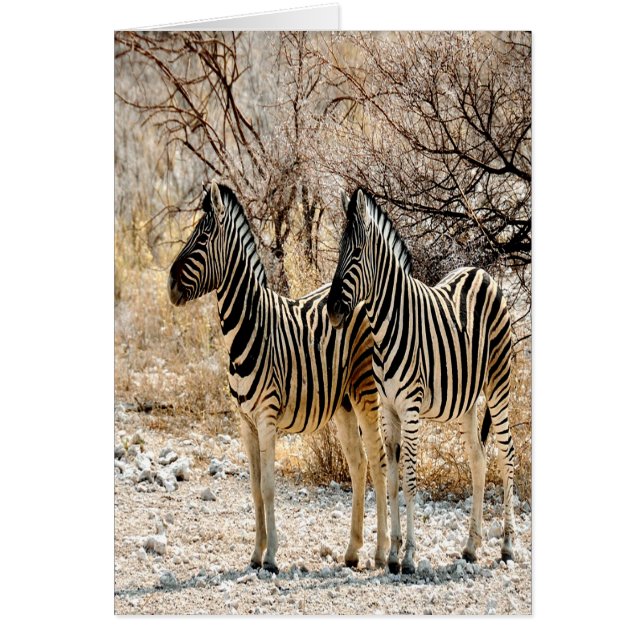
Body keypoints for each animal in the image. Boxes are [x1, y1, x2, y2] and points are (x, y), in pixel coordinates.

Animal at [167, 181, 388, 573]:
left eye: (203, 236)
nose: (169, 283)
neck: (247, 328)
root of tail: (366, 296)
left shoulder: (266, 417)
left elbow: (269, 487)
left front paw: (271, 556)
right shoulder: (244, 422)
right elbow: (255, 487)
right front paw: (255, 554)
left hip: (366, 393)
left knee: (377, 462)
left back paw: (379, 553)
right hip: (343, 403)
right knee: (358, 464)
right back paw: (352, 551)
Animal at [327, 187, 517, 574]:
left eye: (356, 252)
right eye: (339, 250)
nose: (332, 309)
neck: (387, 324)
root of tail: (482, 273)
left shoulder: (411, 407)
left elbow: (411, 478)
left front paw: (410, 555)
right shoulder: (388, 408)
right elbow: (392, 478)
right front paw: (393, 554)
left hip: (499, 384)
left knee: (507, 455)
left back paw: (506, 545)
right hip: (467, 400)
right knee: (478, 459)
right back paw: (471, 547)